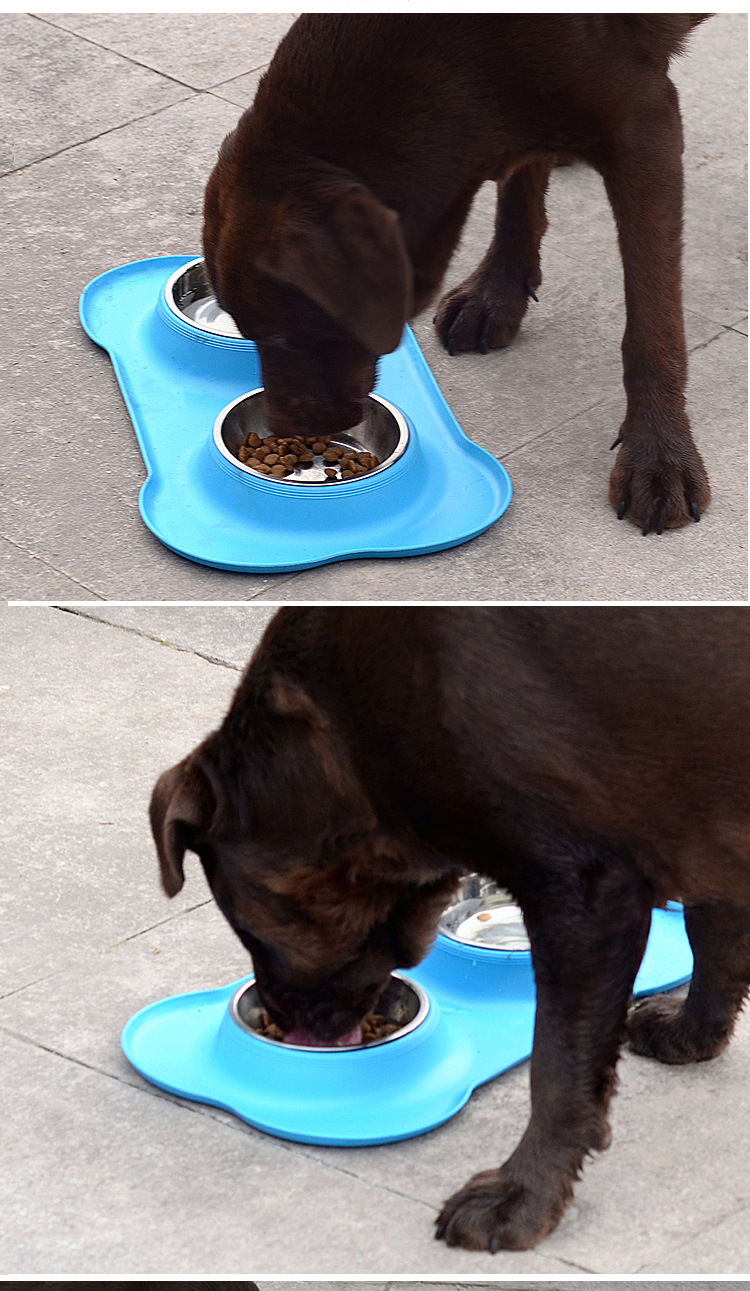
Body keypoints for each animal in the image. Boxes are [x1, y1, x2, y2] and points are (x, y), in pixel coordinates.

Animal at [150, 609, 748, 1254]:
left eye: (249, 926)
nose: (287, 1025)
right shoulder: (704, 821)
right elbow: (715, 933)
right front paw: (694, 1032)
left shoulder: (586, 892)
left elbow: (557, 1072)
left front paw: (522, 1199)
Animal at [201, 16, 712, 529]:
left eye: (282, 335)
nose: (283, 428)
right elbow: (520, 185)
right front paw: (497, 296)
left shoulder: (644, 123)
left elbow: (652, 323)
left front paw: (658, 455)